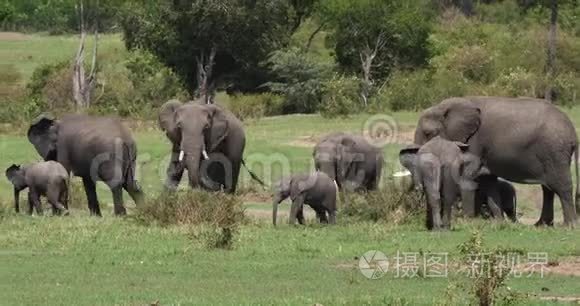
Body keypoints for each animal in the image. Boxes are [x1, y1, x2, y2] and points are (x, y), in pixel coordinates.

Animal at [414, 97, 576, 226]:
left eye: (428, 133)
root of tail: (573, 132)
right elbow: (488, 180)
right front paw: (498, 223)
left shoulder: (474, 142)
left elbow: (468, 175)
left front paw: (467, 221)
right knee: (547, 188)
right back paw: (542, 225)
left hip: (555, 151)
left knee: (561, 186)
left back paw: (569, 226)